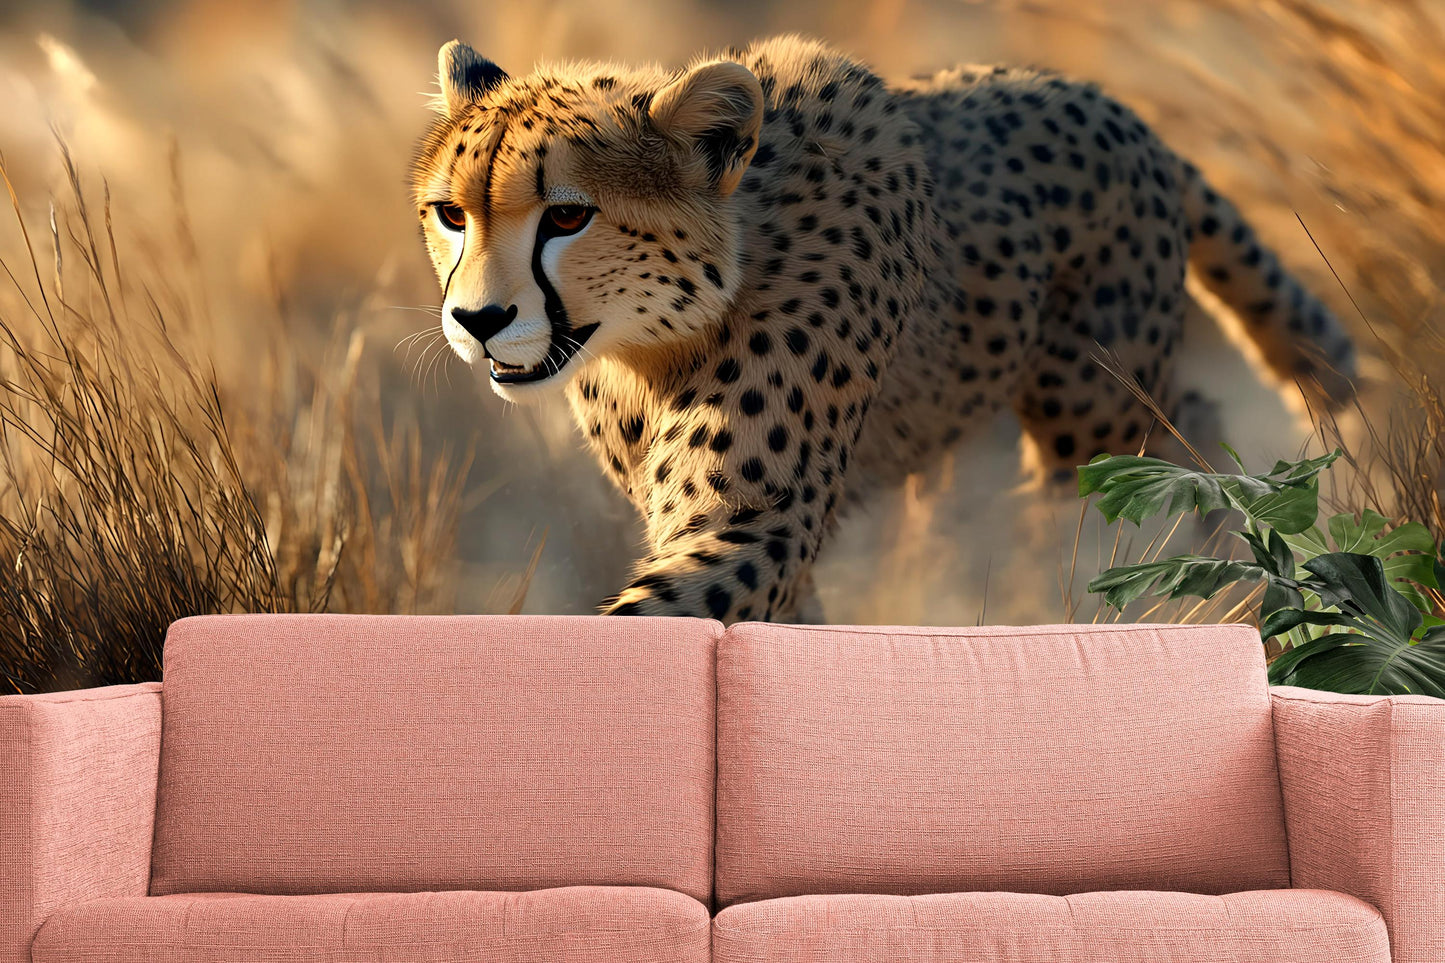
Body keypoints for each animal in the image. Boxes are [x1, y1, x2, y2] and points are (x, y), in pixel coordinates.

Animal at [410, 34, 1356, 623]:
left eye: (568, 216)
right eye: (451, 214)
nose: (477, 320)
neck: (655, 340)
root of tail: (1101, 99)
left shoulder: (755, 520)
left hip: (1085, 408)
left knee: (1160, 446)